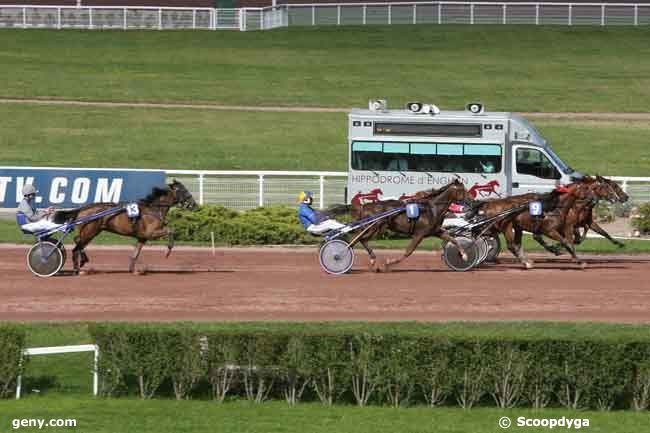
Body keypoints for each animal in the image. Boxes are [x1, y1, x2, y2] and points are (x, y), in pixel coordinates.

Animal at [53, 179, 196, 274]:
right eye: (183, 190)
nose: (194, 204)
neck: (153, 209)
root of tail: (83, 208)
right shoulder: (151, 233)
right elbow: (171, 230)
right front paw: (168, 251)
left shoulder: (142, 237)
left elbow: (135, 254)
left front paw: (132, 270)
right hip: (90, 231)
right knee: (76, 248)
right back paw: (77, 269)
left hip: (90, 231)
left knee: (78, 242)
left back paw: (83, 261)